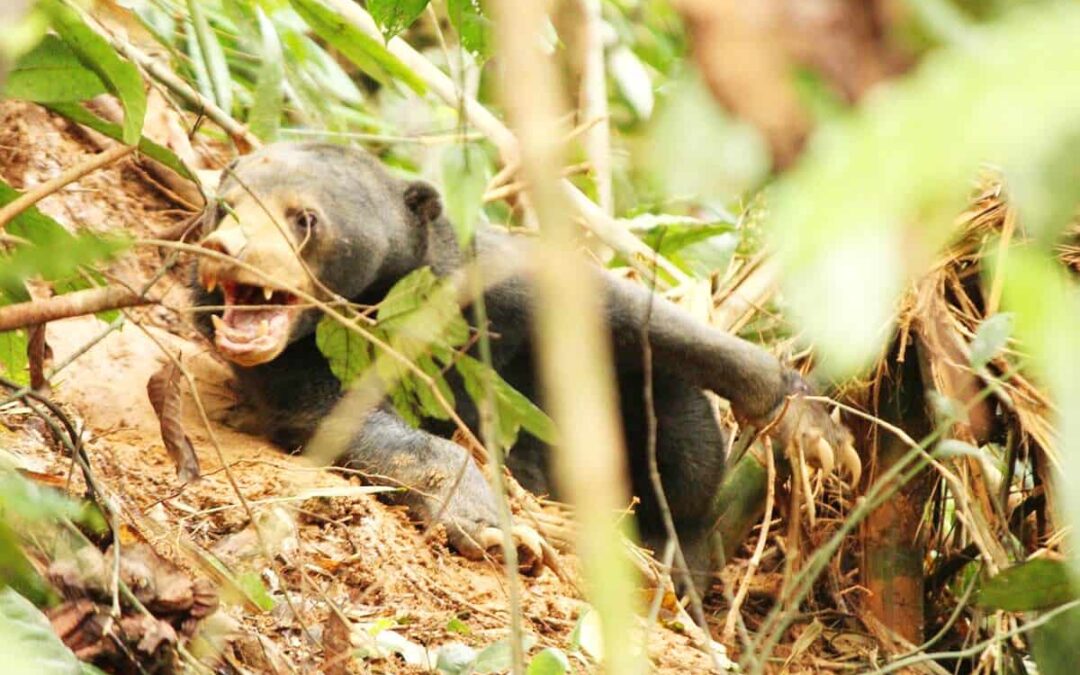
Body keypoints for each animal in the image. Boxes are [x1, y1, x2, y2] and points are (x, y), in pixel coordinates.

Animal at [190, 142, 854, 589]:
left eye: (303, 220)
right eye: (225, 209)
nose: (222, 251)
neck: (383, 303)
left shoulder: (489, 279)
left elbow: (632, 312)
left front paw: (812, 428)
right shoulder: (291, 369)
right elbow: (352, 423)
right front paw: (492, 528)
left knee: (681, 431)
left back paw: (673, 556)